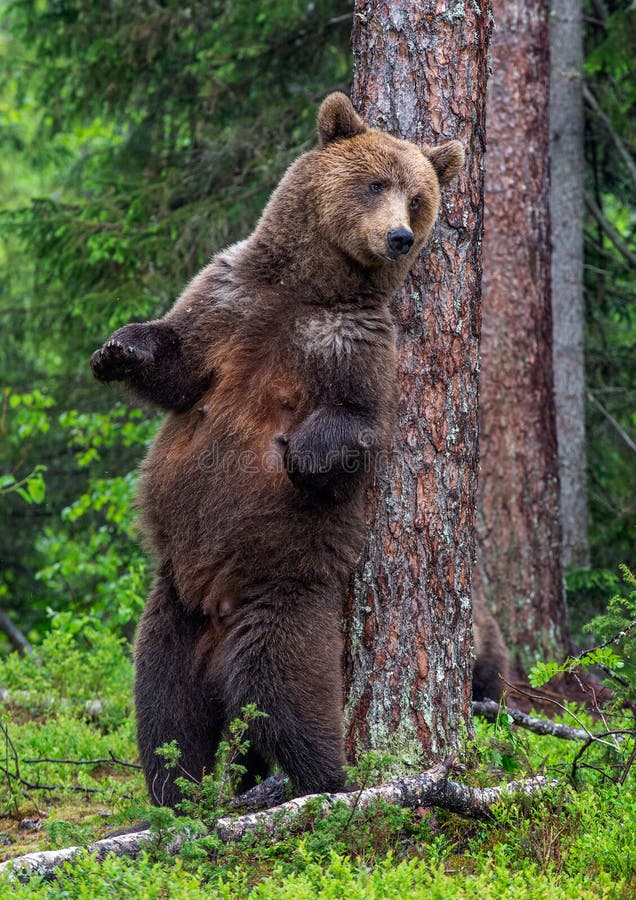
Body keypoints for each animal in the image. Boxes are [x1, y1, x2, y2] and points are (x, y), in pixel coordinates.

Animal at [89, 95, 464, 804]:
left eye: (419, 198)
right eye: (376, 183)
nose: (399, 237)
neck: (307, 289)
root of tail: (214, 627)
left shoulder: (357, 343)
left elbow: (356, 424)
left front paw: (300, 454)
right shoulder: (229, 296)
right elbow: (178, 361)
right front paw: (117, 349)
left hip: (280, 597)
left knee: (283, 694)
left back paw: (317, 780)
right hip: (169, 615)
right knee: (164, 712)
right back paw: (177, 796)